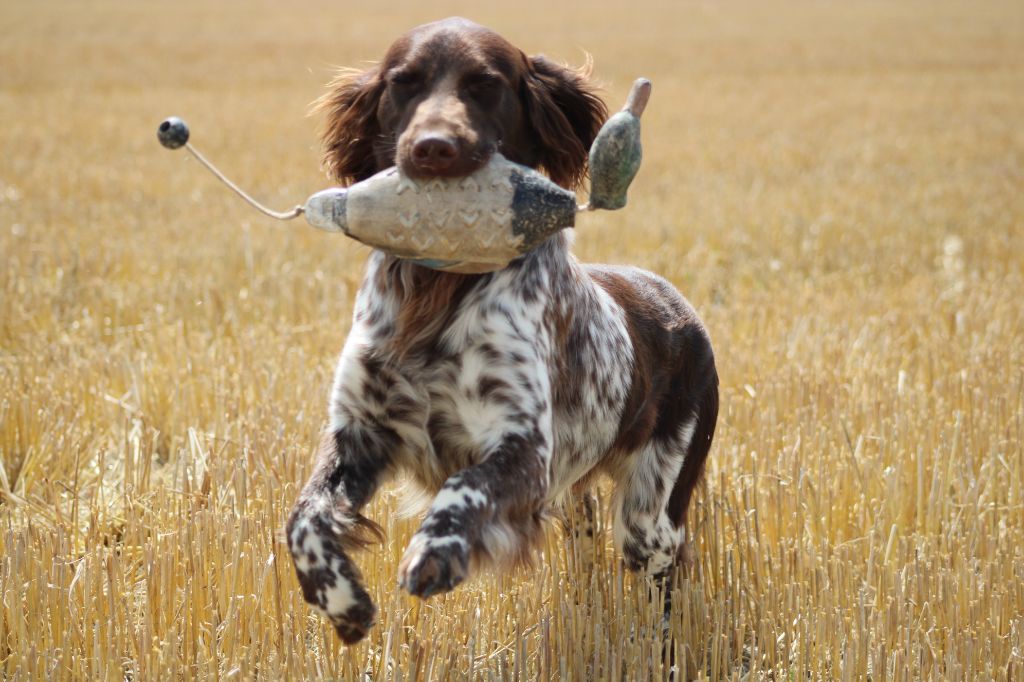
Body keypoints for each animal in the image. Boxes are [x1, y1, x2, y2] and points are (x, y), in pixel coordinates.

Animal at [286, 17, 720, 643]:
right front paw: (340, 598)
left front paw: (436, 550)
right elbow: (302, 515)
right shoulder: (360, 432)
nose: (433, 148)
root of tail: (680, 307)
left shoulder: (523, 447)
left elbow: (463, 488)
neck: (434, 292)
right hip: (577, 497)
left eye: (485, 84)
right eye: (403, 82)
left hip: (651, 514)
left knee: (664, 578)